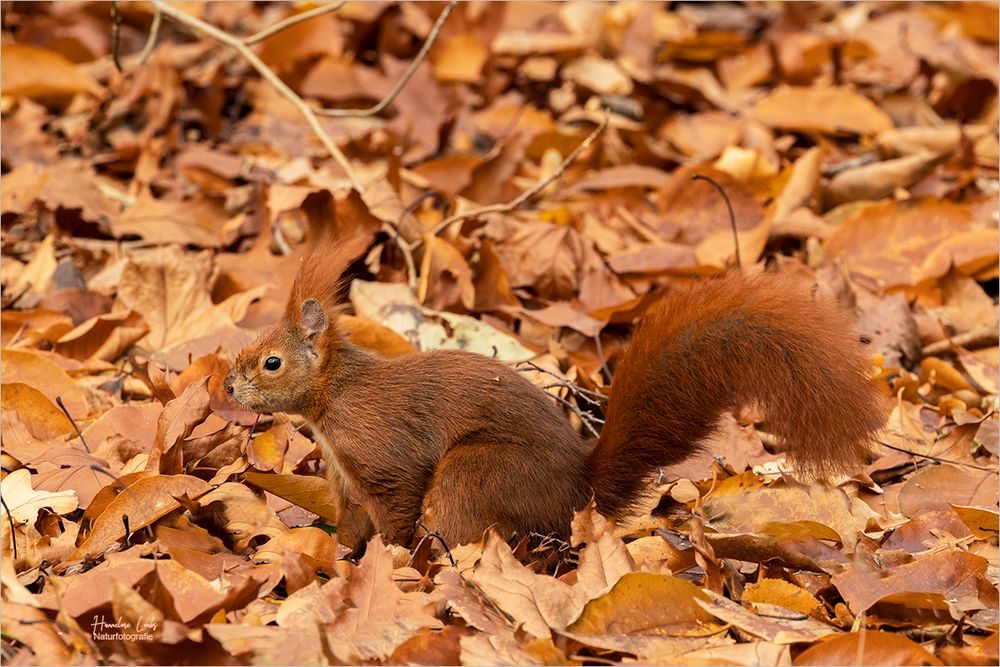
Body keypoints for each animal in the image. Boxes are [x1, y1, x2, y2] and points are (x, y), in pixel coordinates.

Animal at [225, 248, 884, 544]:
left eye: (271, 362)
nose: (228, 385)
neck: (333, 399)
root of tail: (579, 494)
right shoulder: (344, 476)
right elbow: (351, 522)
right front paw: (341, 559)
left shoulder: (383, 454)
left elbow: (397, 510)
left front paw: (390, 562)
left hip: (474, 477)